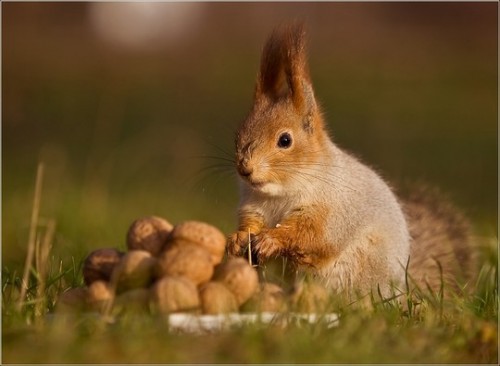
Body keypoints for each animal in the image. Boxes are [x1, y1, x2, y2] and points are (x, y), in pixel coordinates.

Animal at [228, 22, 476, 298]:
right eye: (239, 132)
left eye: (285, 140)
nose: (244, 168)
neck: (280, 192)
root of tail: (400, 292)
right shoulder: (253, 205)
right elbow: (251, 223)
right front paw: (238, 239)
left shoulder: (332, 209)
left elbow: (311, 235)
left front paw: (272, 239)